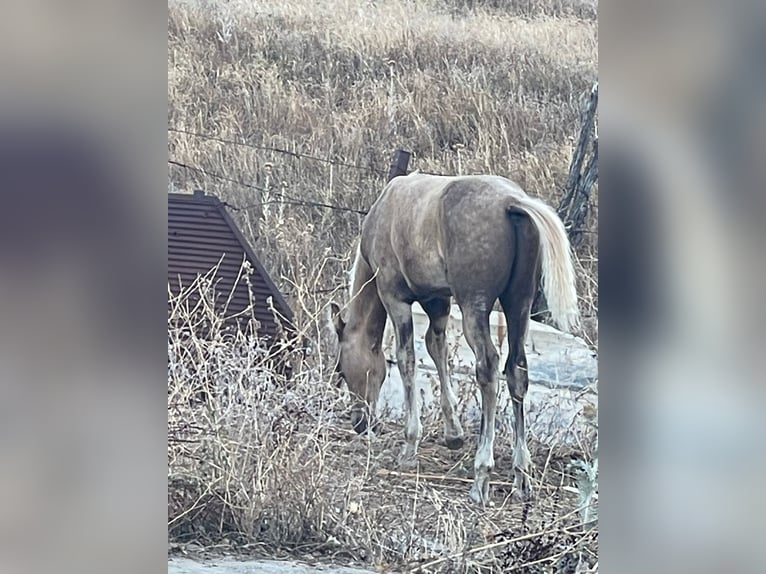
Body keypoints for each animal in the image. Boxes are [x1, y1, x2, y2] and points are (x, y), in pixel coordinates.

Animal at [328, 173, 580, 506]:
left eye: (342, 371)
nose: (359, 422)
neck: (385, 212)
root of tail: (512, 202)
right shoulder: (438, 302)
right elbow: (438, 350)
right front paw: (453, 434)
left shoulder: (396, 299)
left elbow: (407, 360)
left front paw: (410, 445)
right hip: (519, 304)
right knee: (517, 371)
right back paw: (521, 475)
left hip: (474, 305)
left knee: (488, 368)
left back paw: (482, 474)